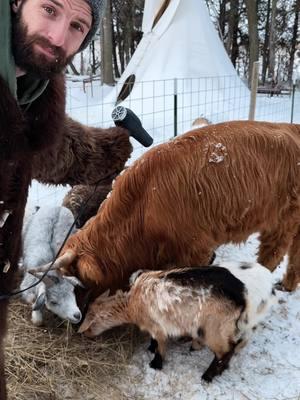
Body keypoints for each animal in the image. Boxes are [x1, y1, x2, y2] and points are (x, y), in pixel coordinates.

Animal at [78, 260, 276, 382]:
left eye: (89, 326)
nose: (85, 335)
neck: (131, 303)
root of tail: (242, 298)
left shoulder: (157, 325)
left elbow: (160, 345)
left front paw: (155, 364)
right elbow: (154, 341)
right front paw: (150, 349)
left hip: (213, 329)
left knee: (226, 351)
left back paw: (208, 376)